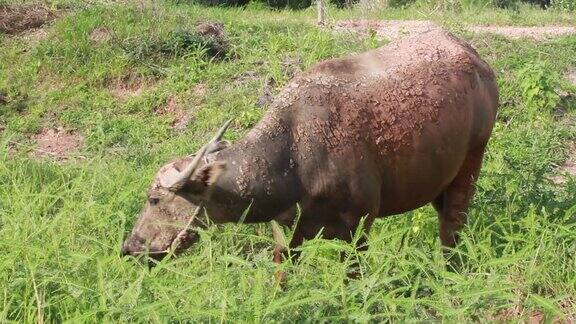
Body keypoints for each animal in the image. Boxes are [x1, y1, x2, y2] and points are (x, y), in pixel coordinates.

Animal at [121, 29, 500, 264]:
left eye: (154, 200)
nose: (129, 247)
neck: (295, 161)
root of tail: (478, 61)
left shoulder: (359, 229)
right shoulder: (286, 234)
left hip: (471, 163)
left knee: (452, 226)